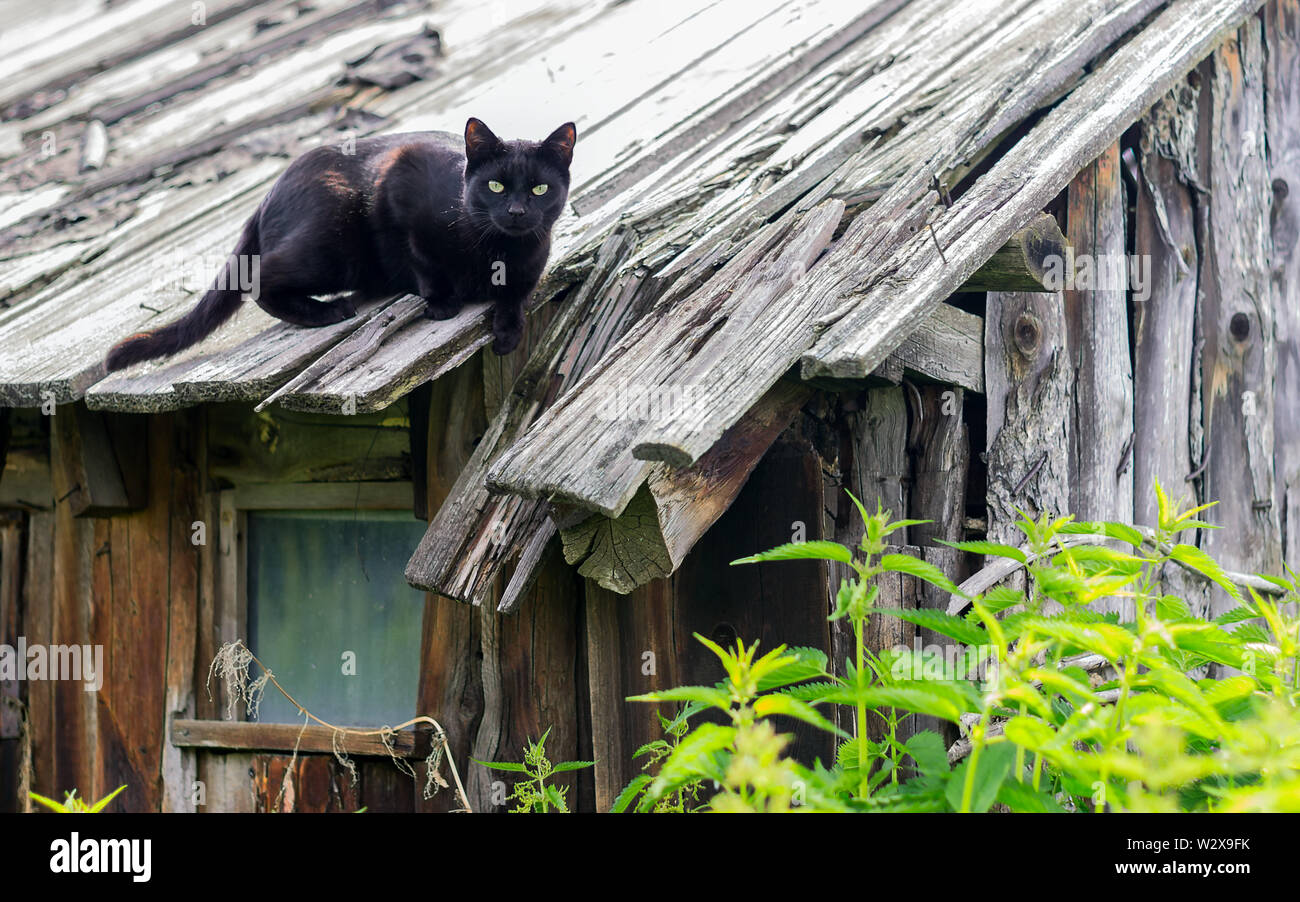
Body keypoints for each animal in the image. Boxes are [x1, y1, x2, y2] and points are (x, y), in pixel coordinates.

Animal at [109, 118, 577, 369]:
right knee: (258, 278)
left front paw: (508, 329)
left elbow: (519, 292)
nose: (516, 212)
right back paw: (327, 311)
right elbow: (421, 258)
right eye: (496, 185)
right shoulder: (399, 178)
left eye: (539, 189)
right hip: (332, 242)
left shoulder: (533, 261)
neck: (498, 251)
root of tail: (267, 195)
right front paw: (441, 301)